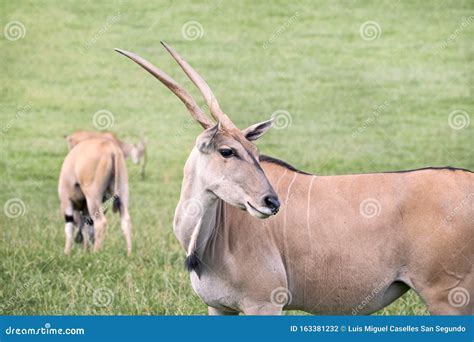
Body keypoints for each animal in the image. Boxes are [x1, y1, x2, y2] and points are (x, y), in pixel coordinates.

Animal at [115, 41, 474, 314]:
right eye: (228, 151)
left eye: (255, 152)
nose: (271, 202)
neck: (208, 238)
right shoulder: (219, 308)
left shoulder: (265, 304)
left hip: (448, 297)